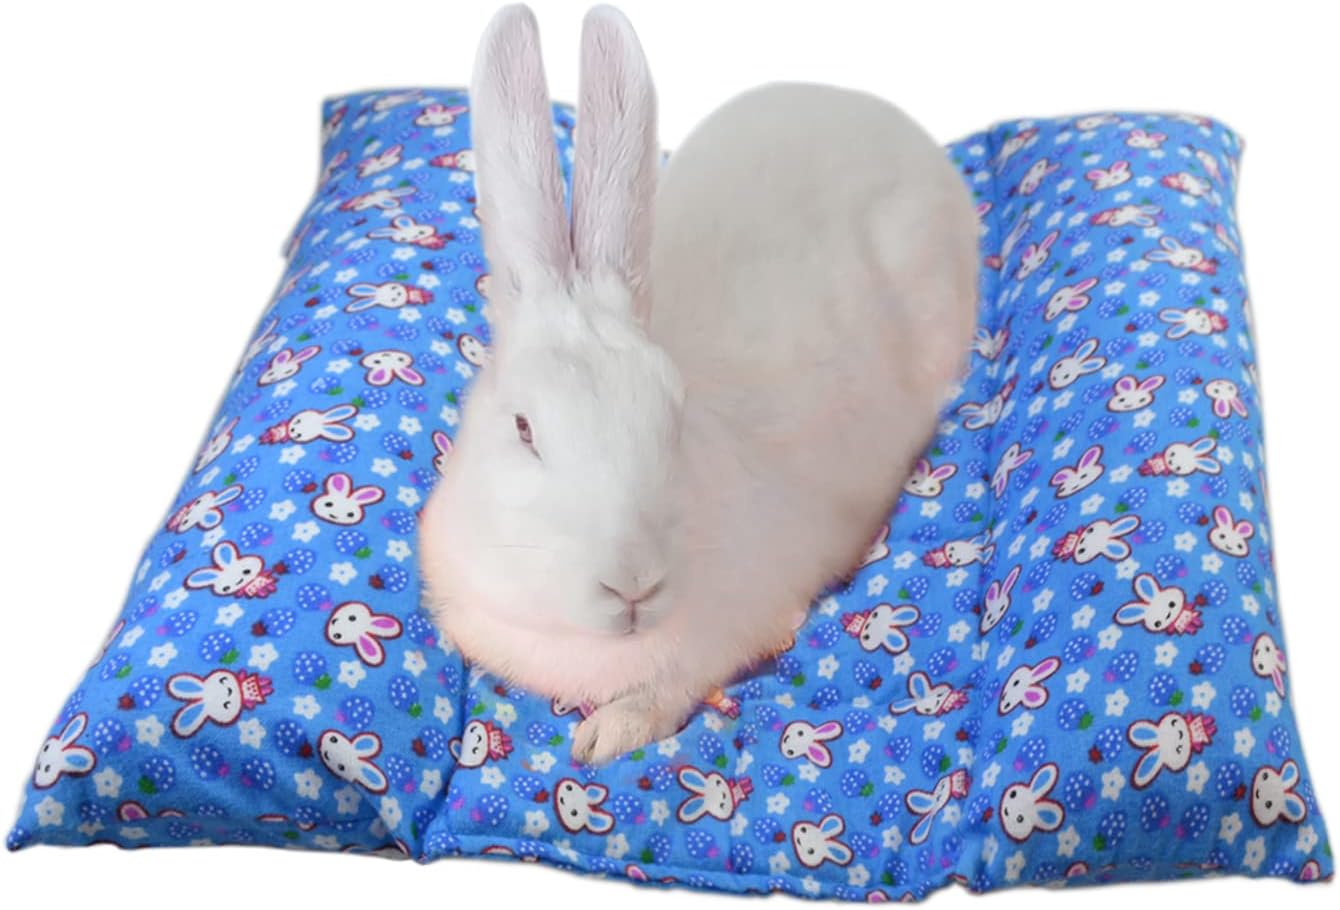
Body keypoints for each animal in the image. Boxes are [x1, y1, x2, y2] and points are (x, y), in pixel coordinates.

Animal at [418, 5, 978, 765]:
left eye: (674, 417)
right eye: (524, 429)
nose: (633, 584)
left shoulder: (727, 629)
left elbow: (670, 691)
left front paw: (603, 738)